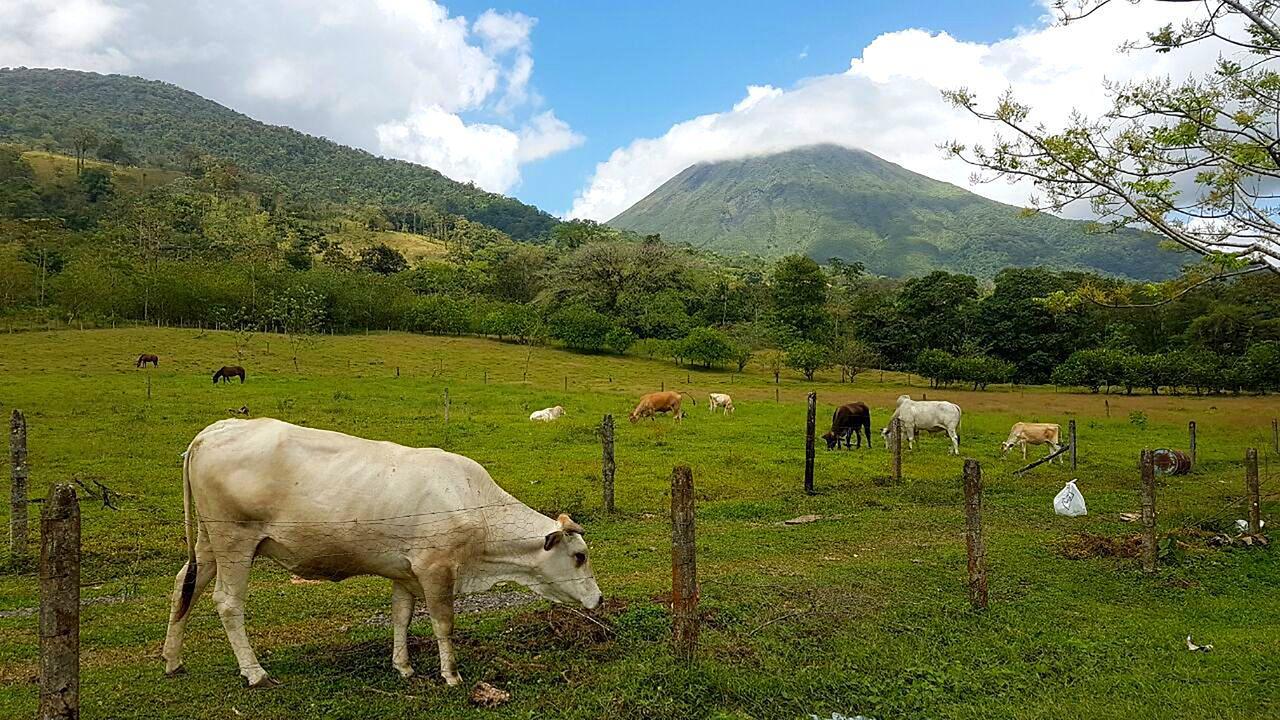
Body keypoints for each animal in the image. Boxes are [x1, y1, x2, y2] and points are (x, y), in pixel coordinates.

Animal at [162, 417, 601, 686]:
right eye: (579, 556)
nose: (598, 598)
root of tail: (216, 429)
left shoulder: (404, 572)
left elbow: (401, 618)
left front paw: (403, 666)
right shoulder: (436, 569)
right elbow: (444, 623)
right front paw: (451, 675)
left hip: (208, 542)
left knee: (186, 585)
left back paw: (172, 659)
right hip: (235, 541)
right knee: (227, 602)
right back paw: (254, 672)